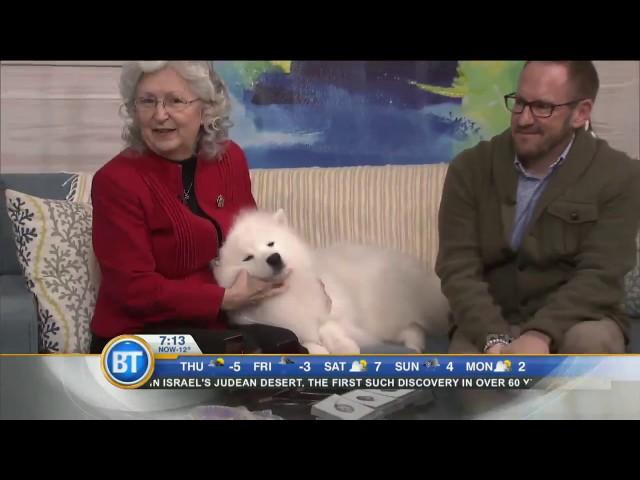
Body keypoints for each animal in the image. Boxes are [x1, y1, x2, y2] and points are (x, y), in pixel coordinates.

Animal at [212, 208, 448, 354]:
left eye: (271, 243)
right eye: (248, 257)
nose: (274, 258)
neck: (290, 292)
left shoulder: (331, 307)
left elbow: (330, 328)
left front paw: (344, 348)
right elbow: (303, 340)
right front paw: (317, 350)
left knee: (413, 325)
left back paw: (414, 345)